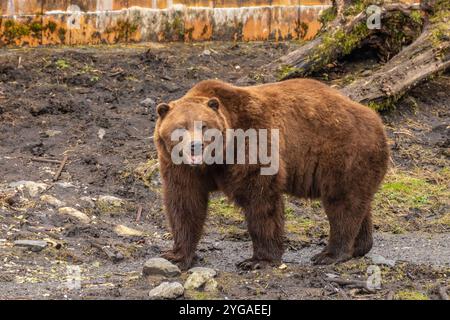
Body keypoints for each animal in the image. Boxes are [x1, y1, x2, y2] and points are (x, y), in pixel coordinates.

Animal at [153, 78, 388, 270]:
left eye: (204, 126)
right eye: (181, 127)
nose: (195, 145)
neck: (216, 159)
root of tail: (376, 119)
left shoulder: (251, 142)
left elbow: (261, 201)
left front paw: (257, 260)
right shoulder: (179, 167)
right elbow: (185, 203)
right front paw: (177, 255)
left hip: (344, 151)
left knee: (342, 203)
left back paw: (330, 254)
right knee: (357, 202)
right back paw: (360, 246)